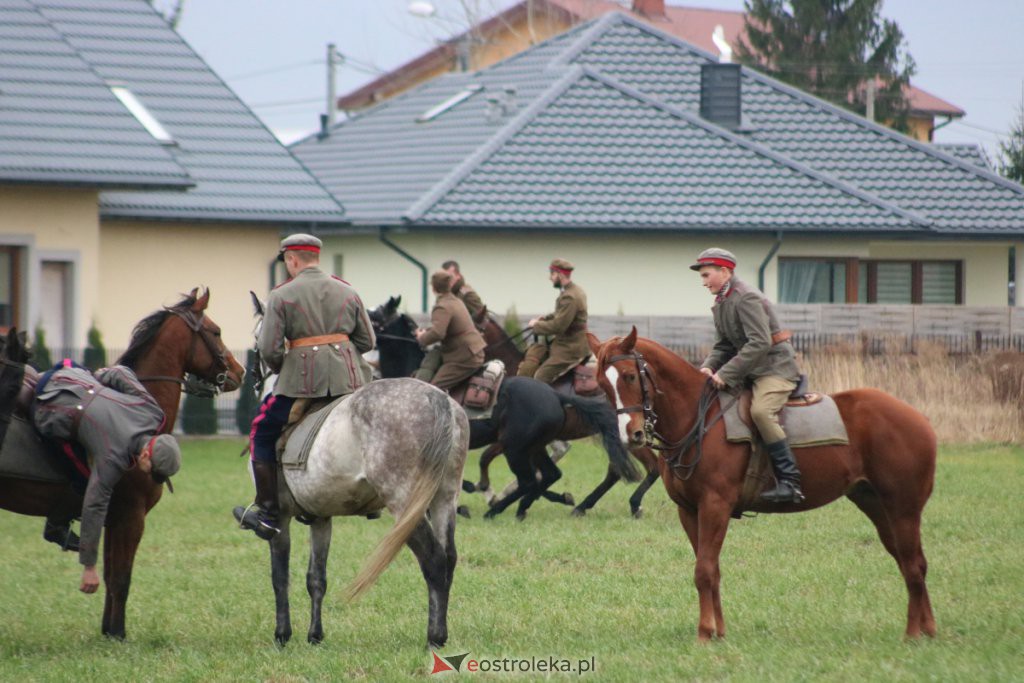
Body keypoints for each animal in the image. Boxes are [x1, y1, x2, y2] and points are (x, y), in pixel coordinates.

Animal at [0, 288, 245, 643]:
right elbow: (120, 578)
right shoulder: (131, 516)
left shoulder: (111, 518)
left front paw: (108, 630)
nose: (240, 372)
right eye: (216, 332)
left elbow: (110, 573)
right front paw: (118, 633)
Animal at [593, 329, 937, 643]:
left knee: (913, 564)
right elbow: (711, 570)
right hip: (876, 506)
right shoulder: (689, 511)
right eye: (602, 385)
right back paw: (927, 629)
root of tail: (919, 419)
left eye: (629, 376)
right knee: (911, 561)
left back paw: (913, 633)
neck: (698, 419)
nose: (632, 435)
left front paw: (704, 632)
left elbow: (704, 570)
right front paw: (718, 631)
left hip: (903, 509)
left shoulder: (715, 506)